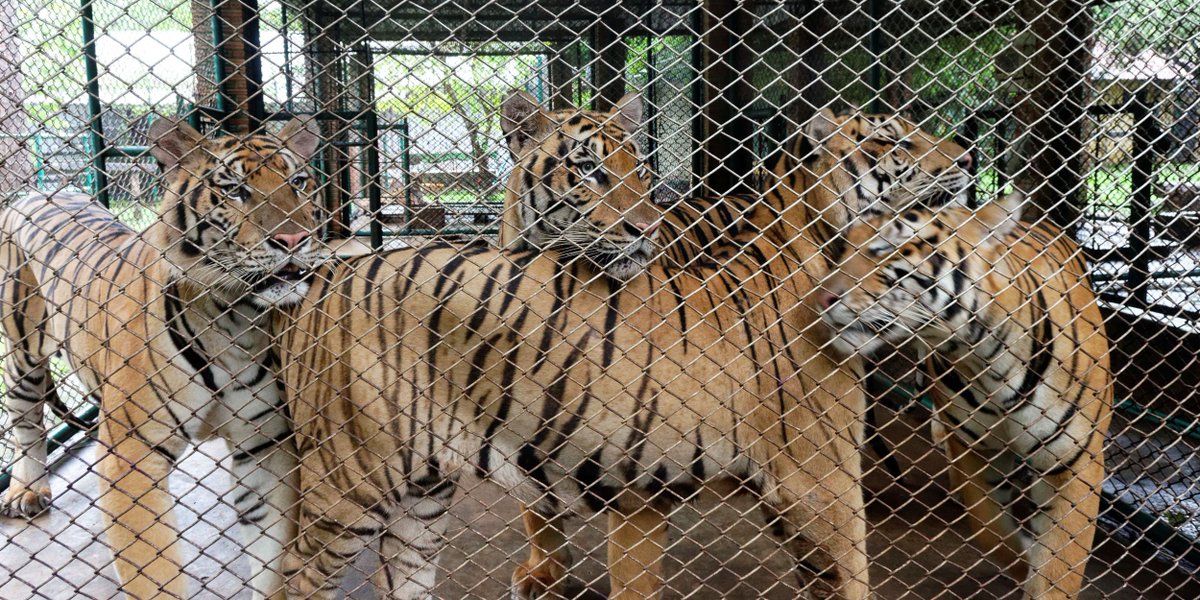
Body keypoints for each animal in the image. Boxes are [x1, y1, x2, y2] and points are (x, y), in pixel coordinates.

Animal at [0, 117, 329, 599]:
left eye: (298, 183)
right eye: (235, 189)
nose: (293, 239)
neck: (236, 319)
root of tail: (39, 193)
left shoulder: (265, 447)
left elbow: (271, 563)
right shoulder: (133, 454)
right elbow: (153, 572)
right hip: (23, 350)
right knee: (26, 420)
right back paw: (26, 489)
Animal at [279, 93, 870, 600]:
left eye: (641, 170)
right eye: (589, 169)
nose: (646, 228)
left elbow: (632, 568)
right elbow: (537, 513)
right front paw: (545, 574)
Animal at [818, 193, 1112, 599]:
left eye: (886, 247)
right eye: (844, 248)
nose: (822, 297)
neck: (987, 360)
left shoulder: (1073, 462)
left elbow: (1060, 567)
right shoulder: (975, 449)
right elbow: (989, 529)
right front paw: (1024, 560)